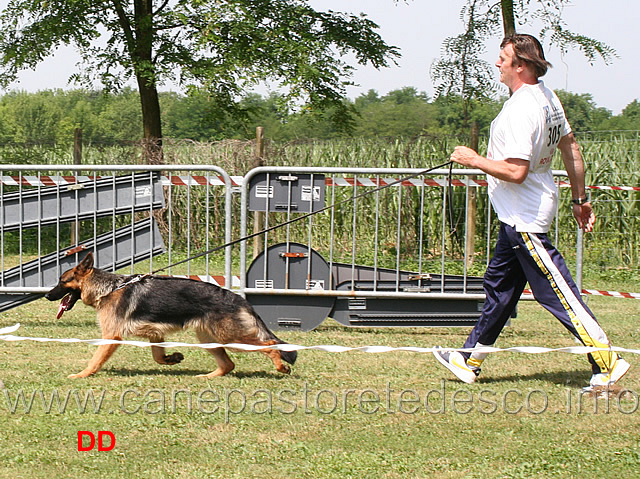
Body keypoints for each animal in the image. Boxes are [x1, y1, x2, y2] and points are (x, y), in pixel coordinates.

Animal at [43, 253, 298, 380]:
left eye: (61, 282)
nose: (46, 295)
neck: (109, 288)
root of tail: (237, 298)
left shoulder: (111, 337)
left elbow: (95, 360)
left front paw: (82, 375)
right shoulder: (155, 334)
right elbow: (157, 356)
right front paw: (172, 358)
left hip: (231, 338)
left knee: (270, 344)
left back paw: (280, 366)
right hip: (208, 339)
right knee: (229, 364)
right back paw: (206, 377)